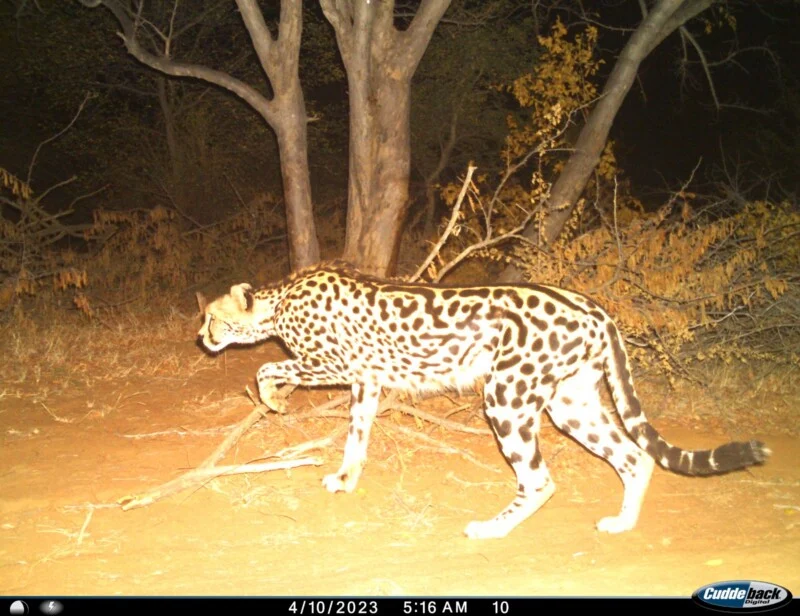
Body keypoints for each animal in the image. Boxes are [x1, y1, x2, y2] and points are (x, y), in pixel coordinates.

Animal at [196, 261, 769, 539]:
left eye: (212, 318)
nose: (201, 338)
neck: (279, 301)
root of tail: (590, 304)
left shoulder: (335, 366)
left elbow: (267, 367)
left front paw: (273, 401)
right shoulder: (367, 380)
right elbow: (357, 436)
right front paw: (346, 479)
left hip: (507, 397)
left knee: (539, 480)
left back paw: (493, 529)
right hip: (570, 402)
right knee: (633, 456)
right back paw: (622, 523)